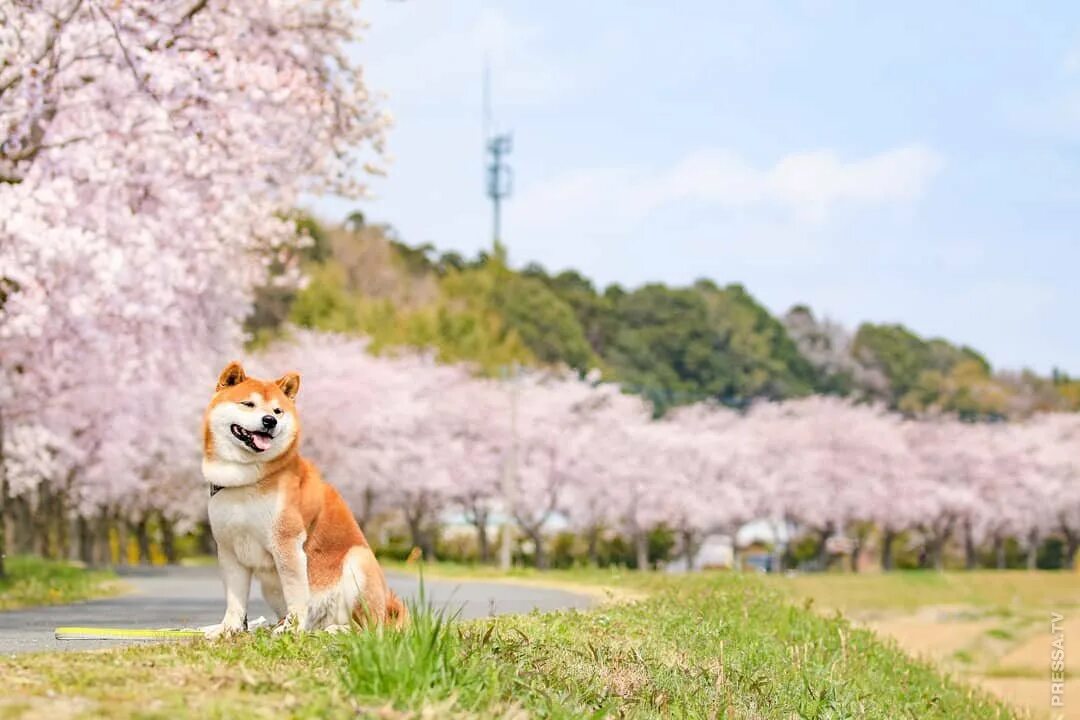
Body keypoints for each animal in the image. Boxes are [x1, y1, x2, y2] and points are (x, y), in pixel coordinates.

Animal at [201, 360, 406, 634]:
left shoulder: (286, 542)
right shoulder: (229, 548)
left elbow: (296, 594)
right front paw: (228, 630)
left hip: (359, 562)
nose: (269, 421)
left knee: (370, 629)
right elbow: (235, 601)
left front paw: (291, 629)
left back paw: (335, 630)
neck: (246, 480)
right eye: (248, 404)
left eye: (277, 411)